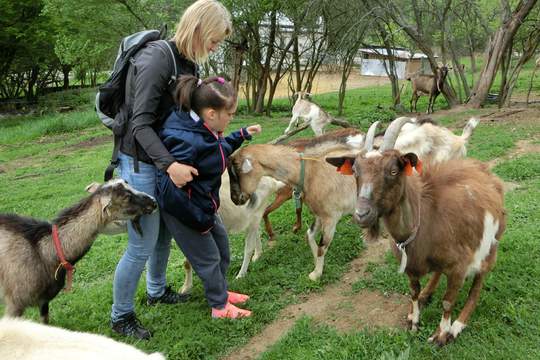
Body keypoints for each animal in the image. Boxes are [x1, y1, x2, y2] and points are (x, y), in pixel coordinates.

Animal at [324, 117, 506, 346]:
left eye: (393, 171)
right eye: (355, 171)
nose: (362, 214)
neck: (424, 217)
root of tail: (486, 172)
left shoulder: (458, 267)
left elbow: (448, 301)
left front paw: (441, 334)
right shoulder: (411, 267)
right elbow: (413, 291)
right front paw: (414, 319)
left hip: (492, 242)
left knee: (478, 282)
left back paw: (458, 325)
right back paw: (427, 295)